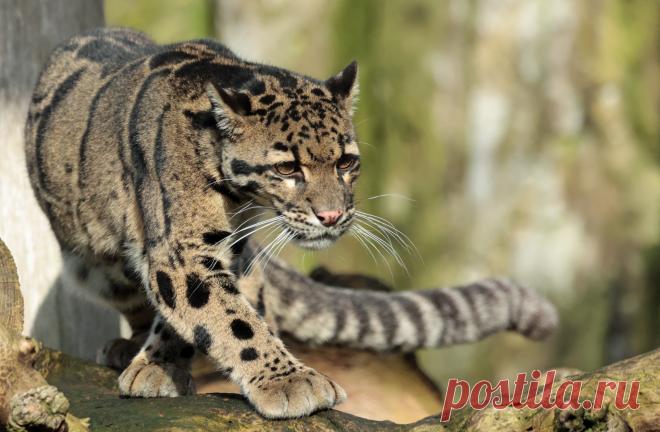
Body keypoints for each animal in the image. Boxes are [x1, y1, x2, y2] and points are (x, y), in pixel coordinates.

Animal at [24, 27, 558, 418]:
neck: (239, 197)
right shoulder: (182, 250)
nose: (332, 215)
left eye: (346, 162)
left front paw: (164, 365)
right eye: (287, 168)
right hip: (96, 266)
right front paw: (291, 381)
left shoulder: (226, 248)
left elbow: (209, 316)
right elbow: (228, 318)